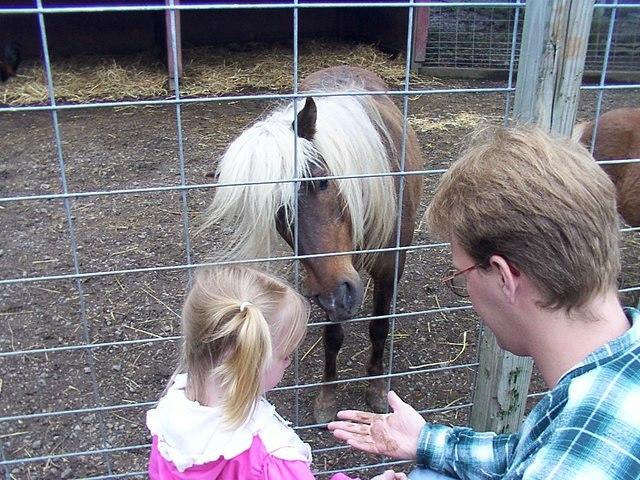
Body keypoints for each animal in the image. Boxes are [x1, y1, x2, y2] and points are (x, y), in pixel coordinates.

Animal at [205, 65, 422, 422]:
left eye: (321, 181)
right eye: (278, 213)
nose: (338, 297)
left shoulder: (390, 266)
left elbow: (379, 327)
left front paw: (377, 389)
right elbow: (332, 337)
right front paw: (326, 398)